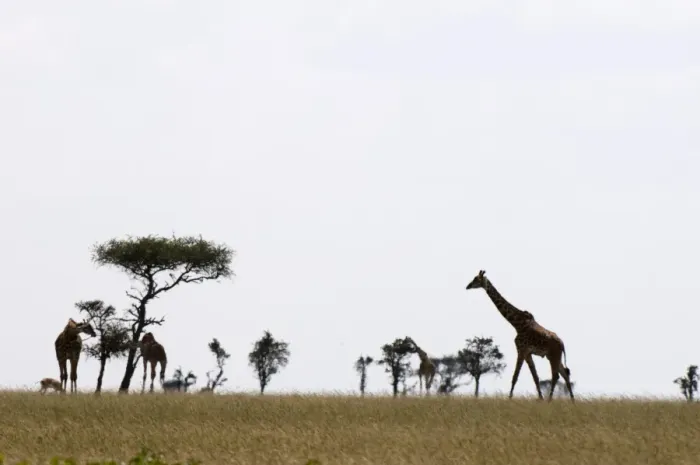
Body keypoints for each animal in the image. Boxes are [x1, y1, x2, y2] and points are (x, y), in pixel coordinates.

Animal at [465, 270, 574, 402]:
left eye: (476, 279)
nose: (467, 286)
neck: (516, 324)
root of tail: (562, 344)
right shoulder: (527, 353)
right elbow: (535, 377)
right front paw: (540, 399)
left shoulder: (521, 350)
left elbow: (515, 376)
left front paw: (509, 399)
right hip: (553, 356)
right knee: (565, 374)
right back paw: (572, 401)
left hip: (554, 355)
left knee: (556, 376)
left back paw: (550, 400)